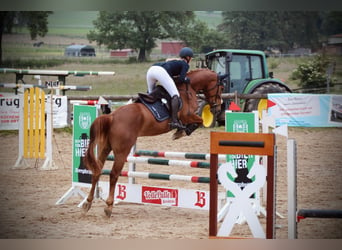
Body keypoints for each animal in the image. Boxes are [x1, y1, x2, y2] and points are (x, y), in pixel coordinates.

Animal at [81, 68, 223, 217]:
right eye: (221, 87)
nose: (217, 109)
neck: (189, 87)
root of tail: (112, 116)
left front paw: (180, 131)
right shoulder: (188, 115)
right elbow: (199, 121)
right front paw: (181, 132)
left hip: (106, 147)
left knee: (97, 170)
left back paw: (88, 202)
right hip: (122, 150)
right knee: (114, 174)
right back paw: (108, 206)